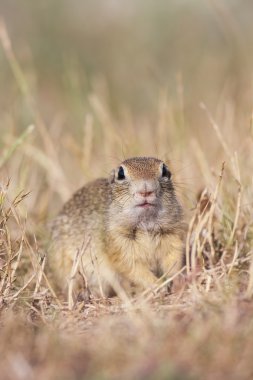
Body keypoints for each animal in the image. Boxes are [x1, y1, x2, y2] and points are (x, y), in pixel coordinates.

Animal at [48, 157, 185, 296]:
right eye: (120, 173)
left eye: (164, 170)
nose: (146, 190)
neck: (145, 224)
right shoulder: (118, 245)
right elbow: (133, 268)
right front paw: (158, 285)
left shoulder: (173, 236)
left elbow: (173, 260)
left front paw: (176, 279)